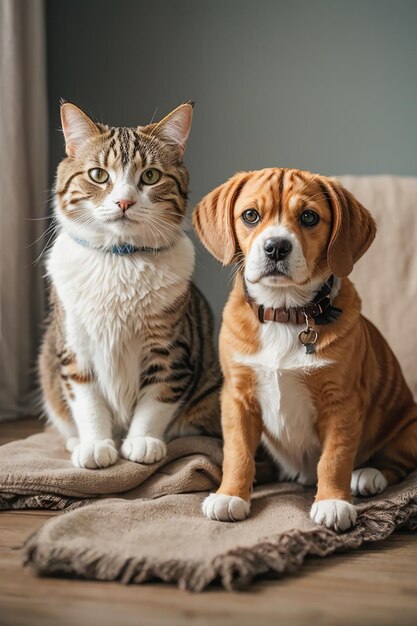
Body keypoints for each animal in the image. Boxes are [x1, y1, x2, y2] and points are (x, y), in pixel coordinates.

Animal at [39, 98, 221, 468]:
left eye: (150, 176)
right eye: (98, 175)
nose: (124, 202)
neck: (119, 258)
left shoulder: (170, 350)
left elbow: (156, 400)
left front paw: (142, 441)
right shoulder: (75, 349)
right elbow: (88, 402)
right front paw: (95, 445)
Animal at [193, 168, 416, 528]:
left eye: (309, 217)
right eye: (251, 215)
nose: (276, 247)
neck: (285, 312)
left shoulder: (342, 402)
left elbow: (335, 458)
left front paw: (333, 501)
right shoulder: (237, 397)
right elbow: (238, 453)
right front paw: (231, 494)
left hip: (409, 427)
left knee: (396, 463)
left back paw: (369, 475)